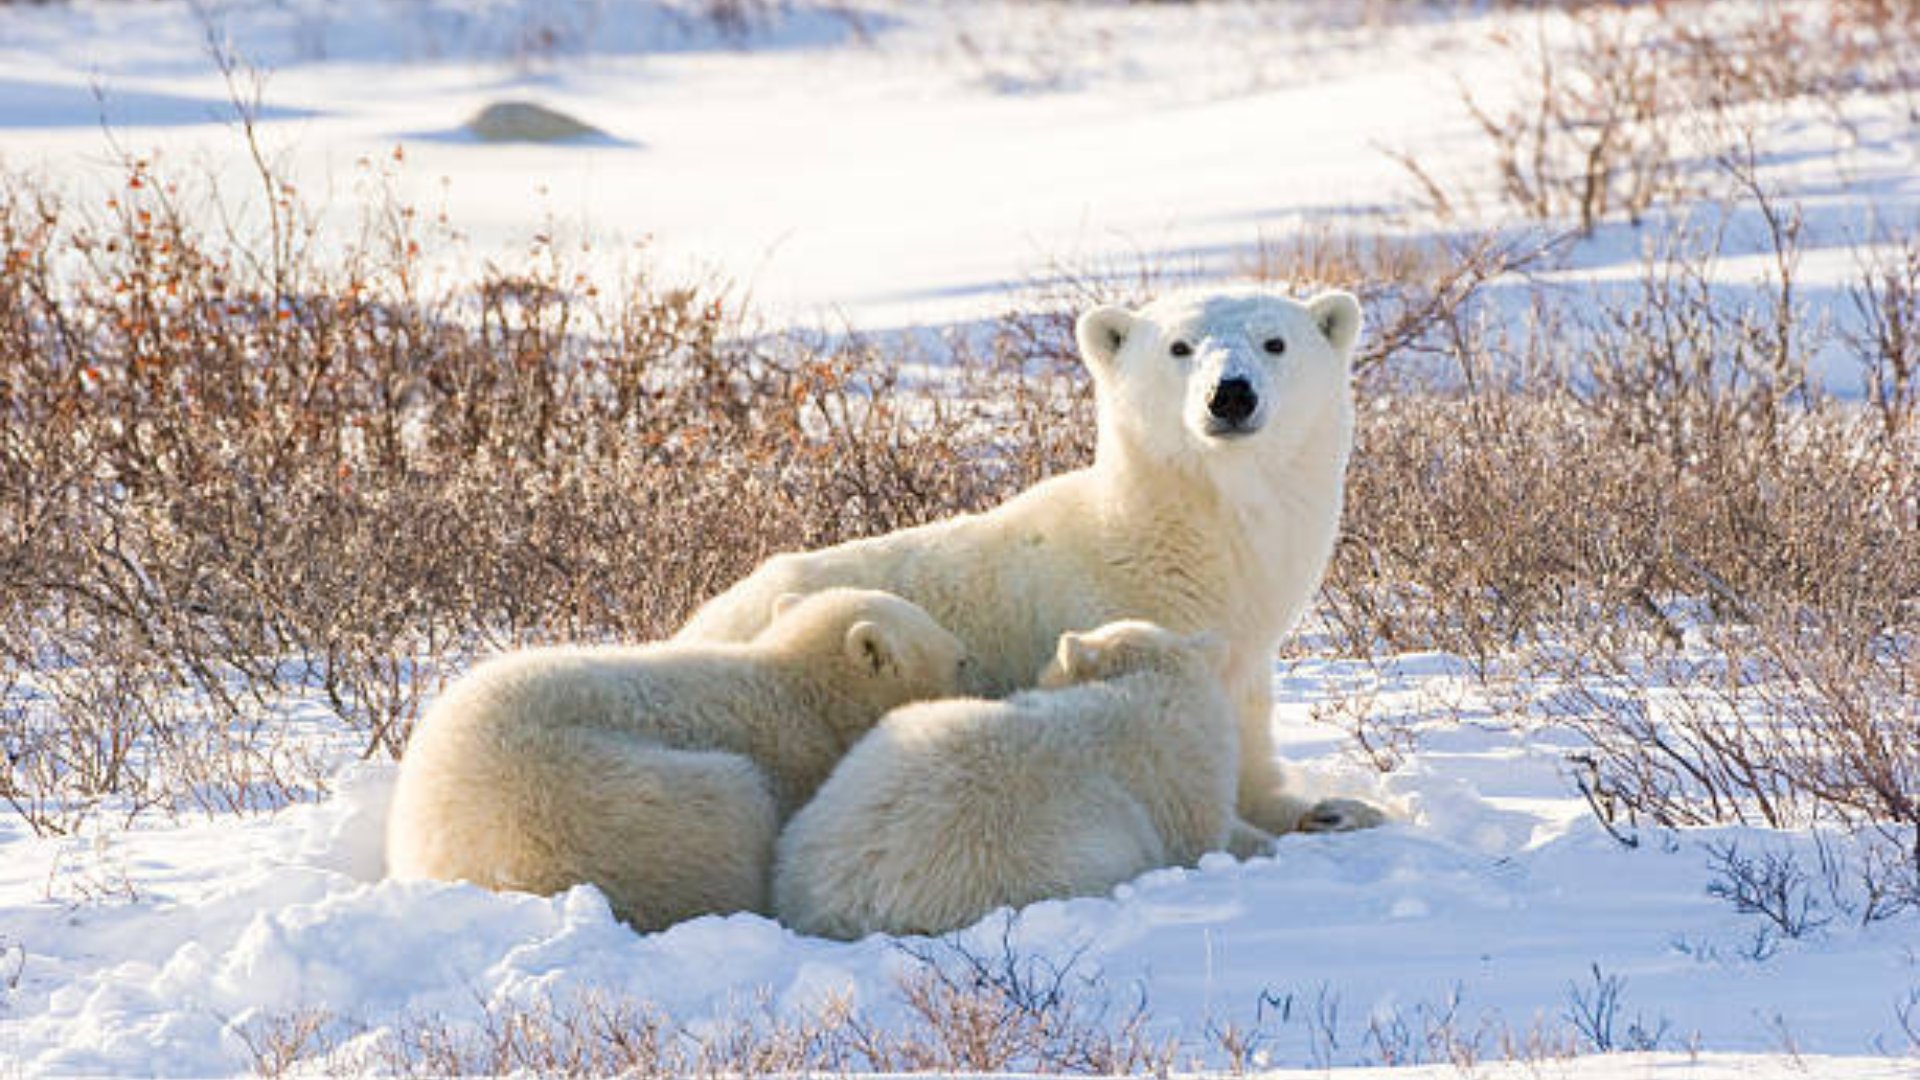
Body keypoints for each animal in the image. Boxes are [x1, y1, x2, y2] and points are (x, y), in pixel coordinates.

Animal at [676, 286, 1381, 841]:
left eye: (1275, 342)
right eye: (1180, 347)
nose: (1229, 394)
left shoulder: (1245, 652)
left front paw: (1335, 809)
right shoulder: (1110, 619)